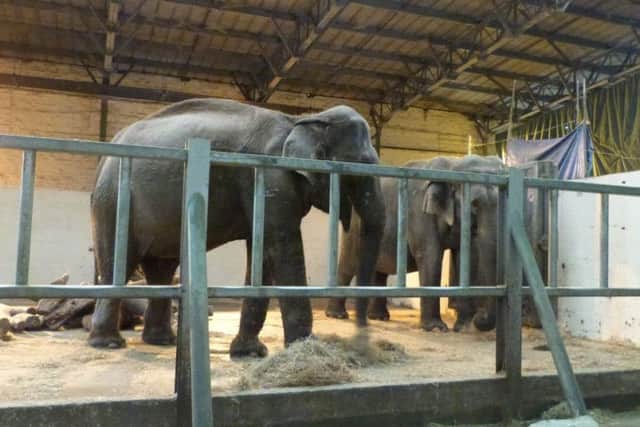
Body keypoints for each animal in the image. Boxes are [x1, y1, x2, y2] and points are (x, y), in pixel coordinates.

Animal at [89, 98, 385, 356]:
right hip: (112, 199)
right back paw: (109, 344)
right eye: (361, 164)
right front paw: (305, 350)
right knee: (118, 263)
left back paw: (161, 341)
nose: (362, 338)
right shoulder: (271, 179)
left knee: (161, 269)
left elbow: (263, 252)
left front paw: (250, 352)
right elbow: (283, 246)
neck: (301, 120)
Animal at [325, 155, 505, 332]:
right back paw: (337, 315)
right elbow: (431, 256)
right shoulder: (419, 212)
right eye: (474, 205)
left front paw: (464, 328)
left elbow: (464, 258)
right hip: (354, 227)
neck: (454, 163)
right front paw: (435, 328)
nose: (480, 317)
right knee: (348, 264)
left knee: (379, 271)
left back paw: (379, 317)